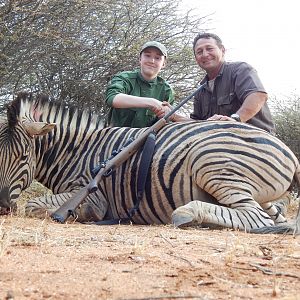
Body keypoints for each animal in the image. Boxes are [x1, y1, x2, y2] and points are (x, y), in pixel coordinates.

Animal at [0, 92, 298, 234]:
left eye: (23, 157)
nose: (2, 207)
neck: (76, 151)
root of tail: (290, 154)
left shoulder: (92, 195)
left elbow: (33, 204)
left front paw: (77, 214)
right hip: (257, 192)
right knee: (276, 216)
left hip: (209, 161)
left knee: (255, 216)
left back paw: (188, 213)